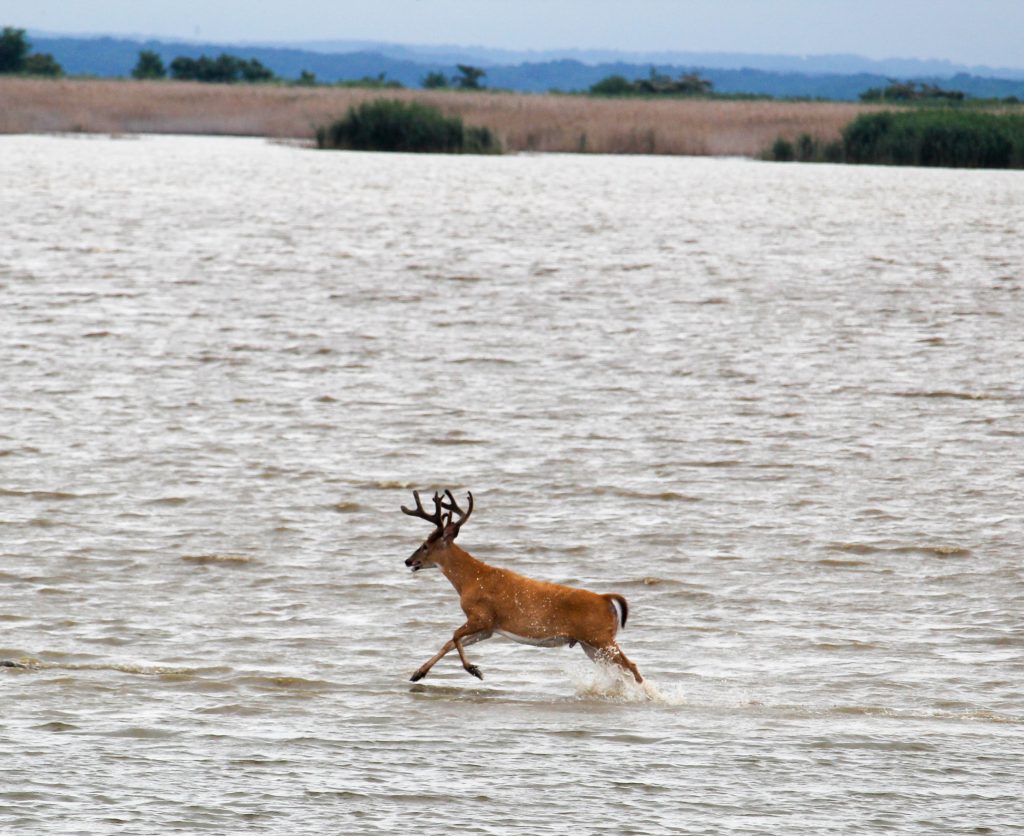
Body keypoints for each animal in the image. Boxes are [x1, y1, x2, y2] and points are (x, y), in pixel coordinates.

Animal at [399, 485, 638, 684]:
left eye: (425, 545)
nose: (408, 561)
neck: (470, 580)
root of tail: (606, 598)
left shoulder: (481, 616)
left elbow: (454, 635)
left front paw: (474, 670)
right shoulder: (489, 628)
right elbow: (449, 642)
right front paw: (418, 673)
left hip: (600, 638)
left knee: (632, 666)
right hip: (590, 644)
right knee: (621, 670)